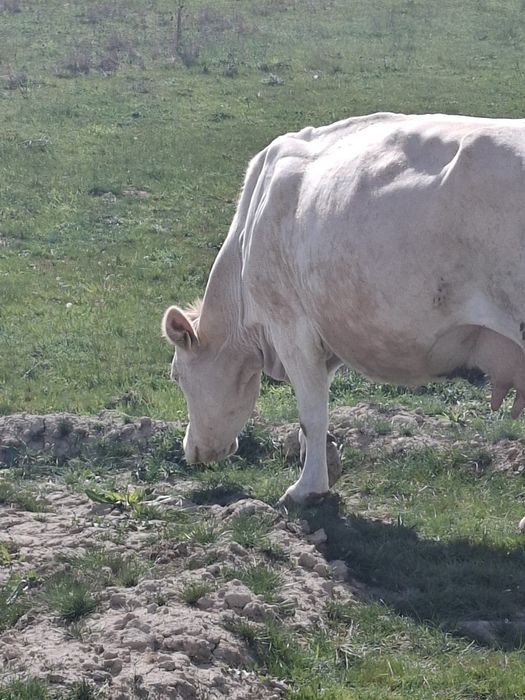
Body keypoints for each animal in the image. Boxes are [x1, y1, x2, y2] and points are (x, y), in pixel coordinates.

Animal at [162, 112, 525, 505]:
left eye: (177, 375)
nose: (190, 450)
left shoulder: (289, 325)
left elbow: (311, 413)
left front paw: (306, 488)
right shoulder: (328, 329)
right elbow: (317, 408)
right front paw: (326, 462)